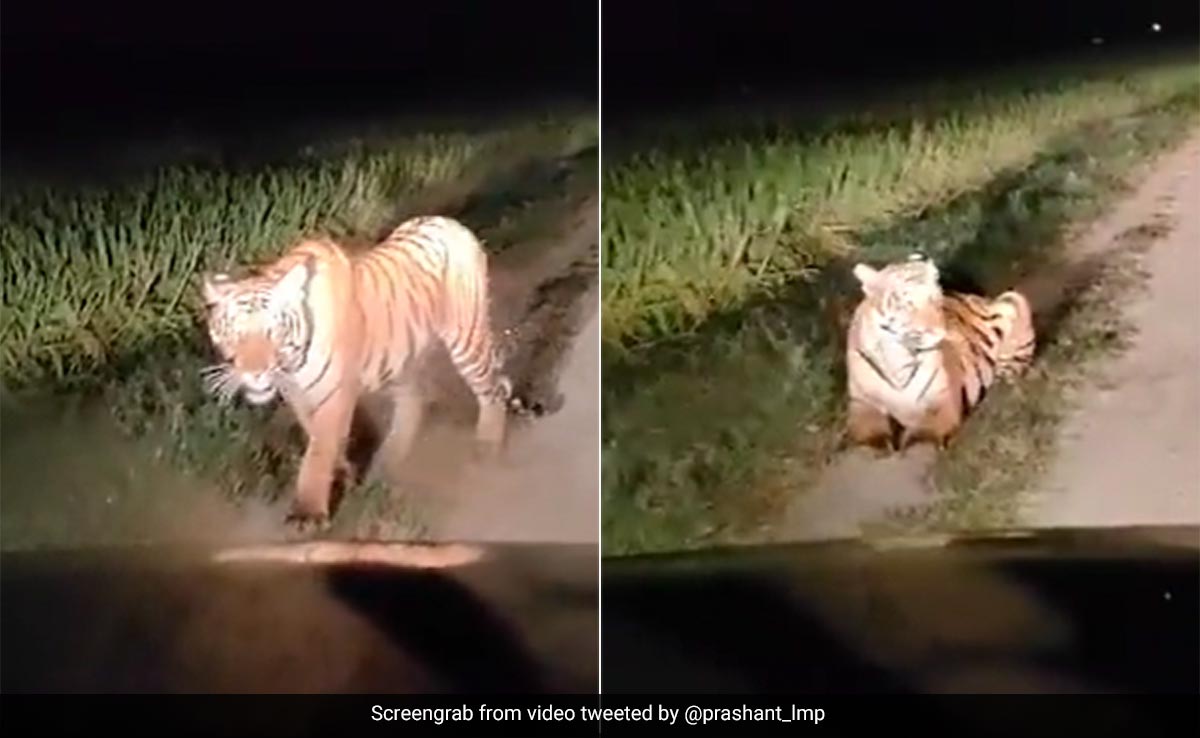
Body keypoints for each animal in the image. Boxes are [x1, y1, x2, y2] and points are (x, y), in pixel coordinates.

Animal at [200, 215, 513, 524]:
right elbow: (318, 437)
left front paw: (307, 513)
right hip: (403, 356)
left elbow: (317, 452)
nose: (255, 372)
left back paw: (487, 449)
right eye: (236, 334)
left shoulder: (334, 393)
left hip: (466, 338)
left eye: (271, 332)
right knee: (414, 400)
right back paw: (389, 459)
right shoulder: (297, 395)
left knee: (491, 391)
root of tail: (449, 222)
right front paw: (343, 475)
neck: (291, 367)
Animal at [844, 254, 1034, 452]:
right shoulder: (862, 404)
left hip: (1013, 299)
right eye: (907, 304)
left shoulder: (941, 403)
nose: (938, 332)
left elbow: (923, 436)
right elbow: (869, 433)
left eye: (935, 299)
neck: (898, 359)